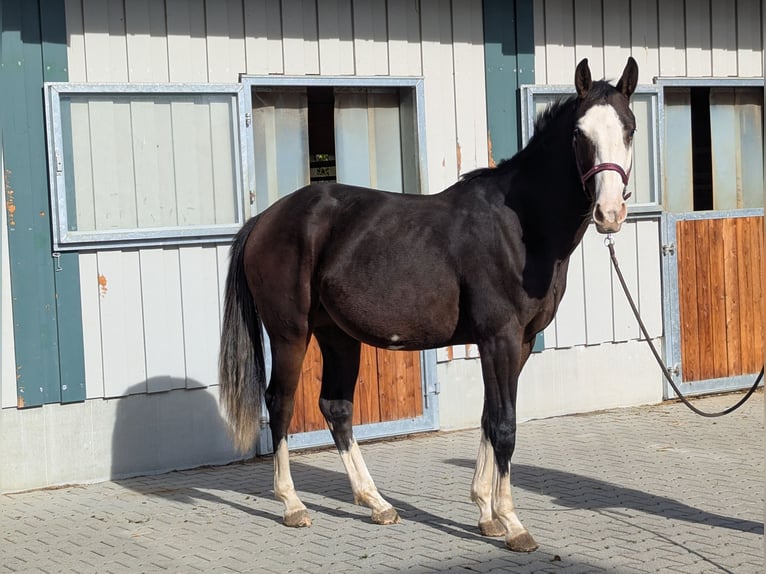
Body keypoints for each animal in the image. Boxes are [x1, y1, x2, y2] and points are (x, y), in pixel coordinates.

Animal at [219, 57, 638, 552]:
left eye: (629, 128)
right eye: (579, 133)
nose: (609, 214)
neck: (520, 227)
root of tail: (265, 219)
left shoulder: (520, 342)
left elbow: (488, 417)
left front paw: (486, 513)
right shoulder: (499, 337)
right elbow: (505, 426)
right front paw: (512, 523)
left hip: (336, 335)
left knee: (336, 407)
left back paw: (377, 503)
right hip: (290, 334)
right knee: (280, 403)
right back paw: (292, 505)